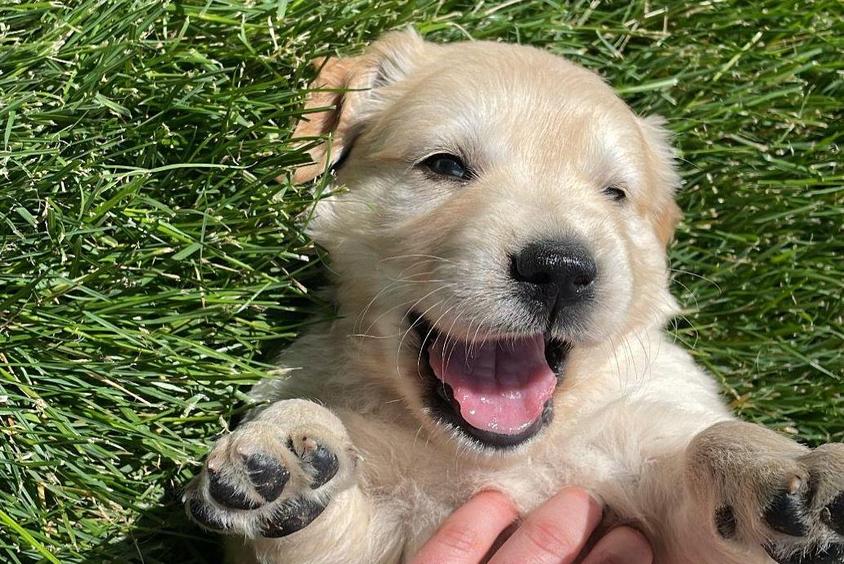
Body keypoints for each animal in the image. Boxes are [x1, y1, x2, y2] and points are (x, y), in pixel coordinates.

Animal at [185, 29, 844, 564]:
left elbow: (709, 437)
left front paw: (785, 469)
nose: (561, 270)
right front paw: (279, 449)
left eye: (615, 194)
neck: (501, 461)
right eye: (445, 166)